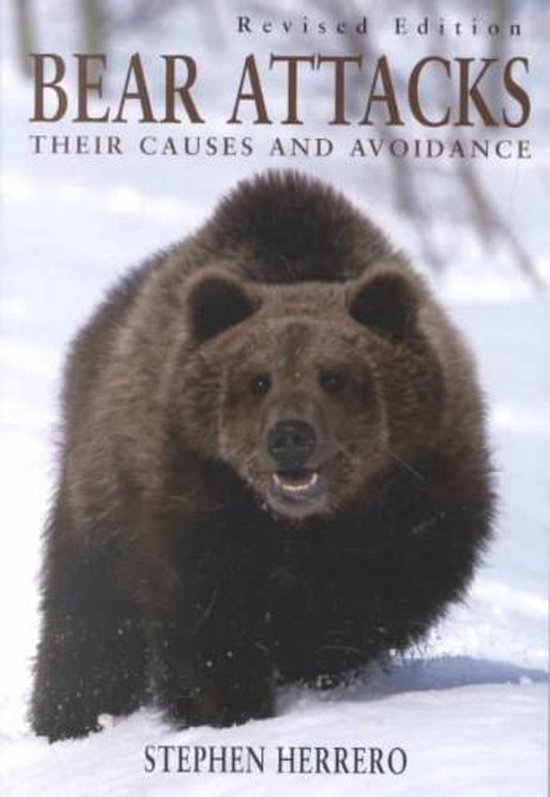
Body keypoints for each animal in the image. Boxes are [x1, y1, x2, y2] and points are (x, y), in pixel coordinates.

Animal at [31, 170, 494, 742]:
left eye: (333, 376)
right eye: (258, 380)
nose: (290, 436)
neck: (303, 526)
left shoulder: (424, 491)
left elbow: (384, 596)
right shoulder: (191, 494)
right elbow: (206, 619)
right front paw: (227, 707)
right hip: (100, 496)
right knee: (87, 624)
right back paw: (73, 718)